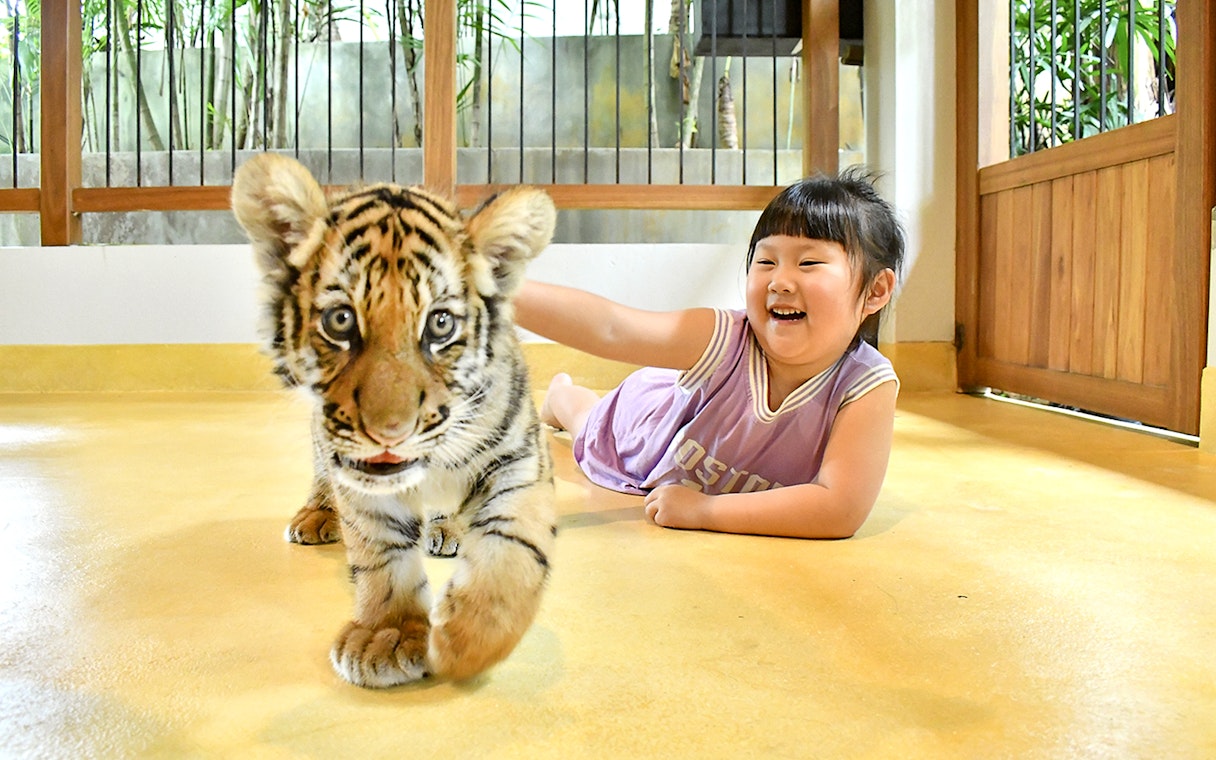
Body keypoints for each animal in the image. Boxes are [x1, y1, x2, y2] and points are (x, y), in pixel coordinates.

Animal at [231, 153, 557, 688]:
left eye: (440, 324)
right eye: (340, 320)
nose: (390, 432)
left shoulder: (520, 455)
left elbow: (512, 546)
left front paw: (465, 643)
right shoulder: (355, 471)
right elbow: (379, 550)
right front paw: (388, 634)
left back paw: (446, 530)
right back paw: (317, 516)